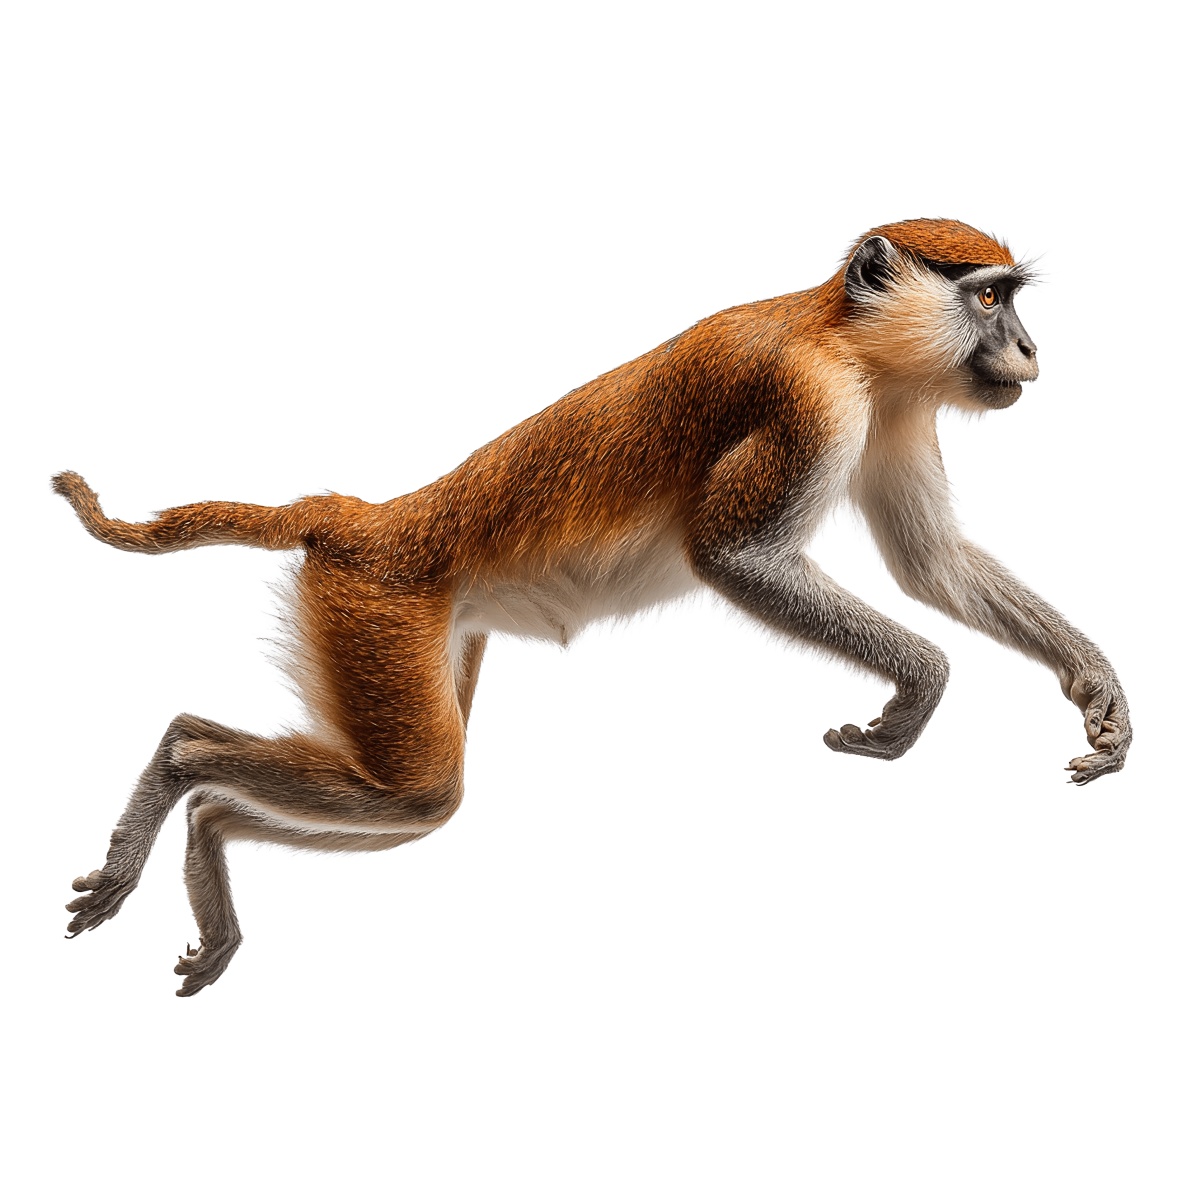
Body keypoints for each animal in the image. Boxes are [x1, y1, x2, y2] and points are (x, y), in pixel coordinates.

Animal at [54, 218, 1131, 996]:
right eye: (986, 296)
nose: (1028, 347)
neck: (844, 333)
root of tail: (376, 519)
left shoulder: (898, 406)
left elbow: (932, 564)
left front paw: (1095, 688)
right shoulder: (809, 400)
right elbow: (734, 557)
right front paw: (917, 691)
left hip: (398, 623)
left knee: (411, 805)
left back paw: (208, 830)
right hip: (376, 604)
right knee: (413, 789)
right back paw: (183, 765)